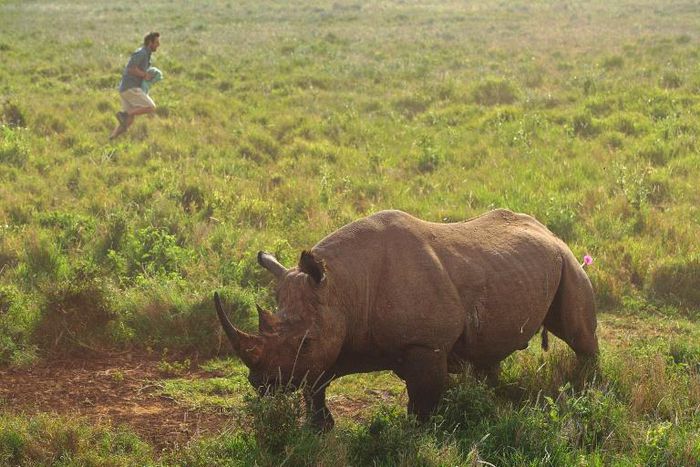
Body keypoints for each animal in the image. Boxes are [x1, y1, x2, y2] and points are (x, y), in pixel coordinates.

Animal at [215, 209, 598, 430]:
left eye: (305, 341)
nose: (263, 384)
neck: (342, 287)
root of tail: (546, 229)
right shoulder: (334, 332)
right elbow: (316, 383)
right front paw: (320, 428)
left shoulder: (425, 343)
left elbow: (423, 398)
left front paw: (416, 432)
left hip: (566, 260)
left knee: (577, 335)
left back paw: (590, 388)